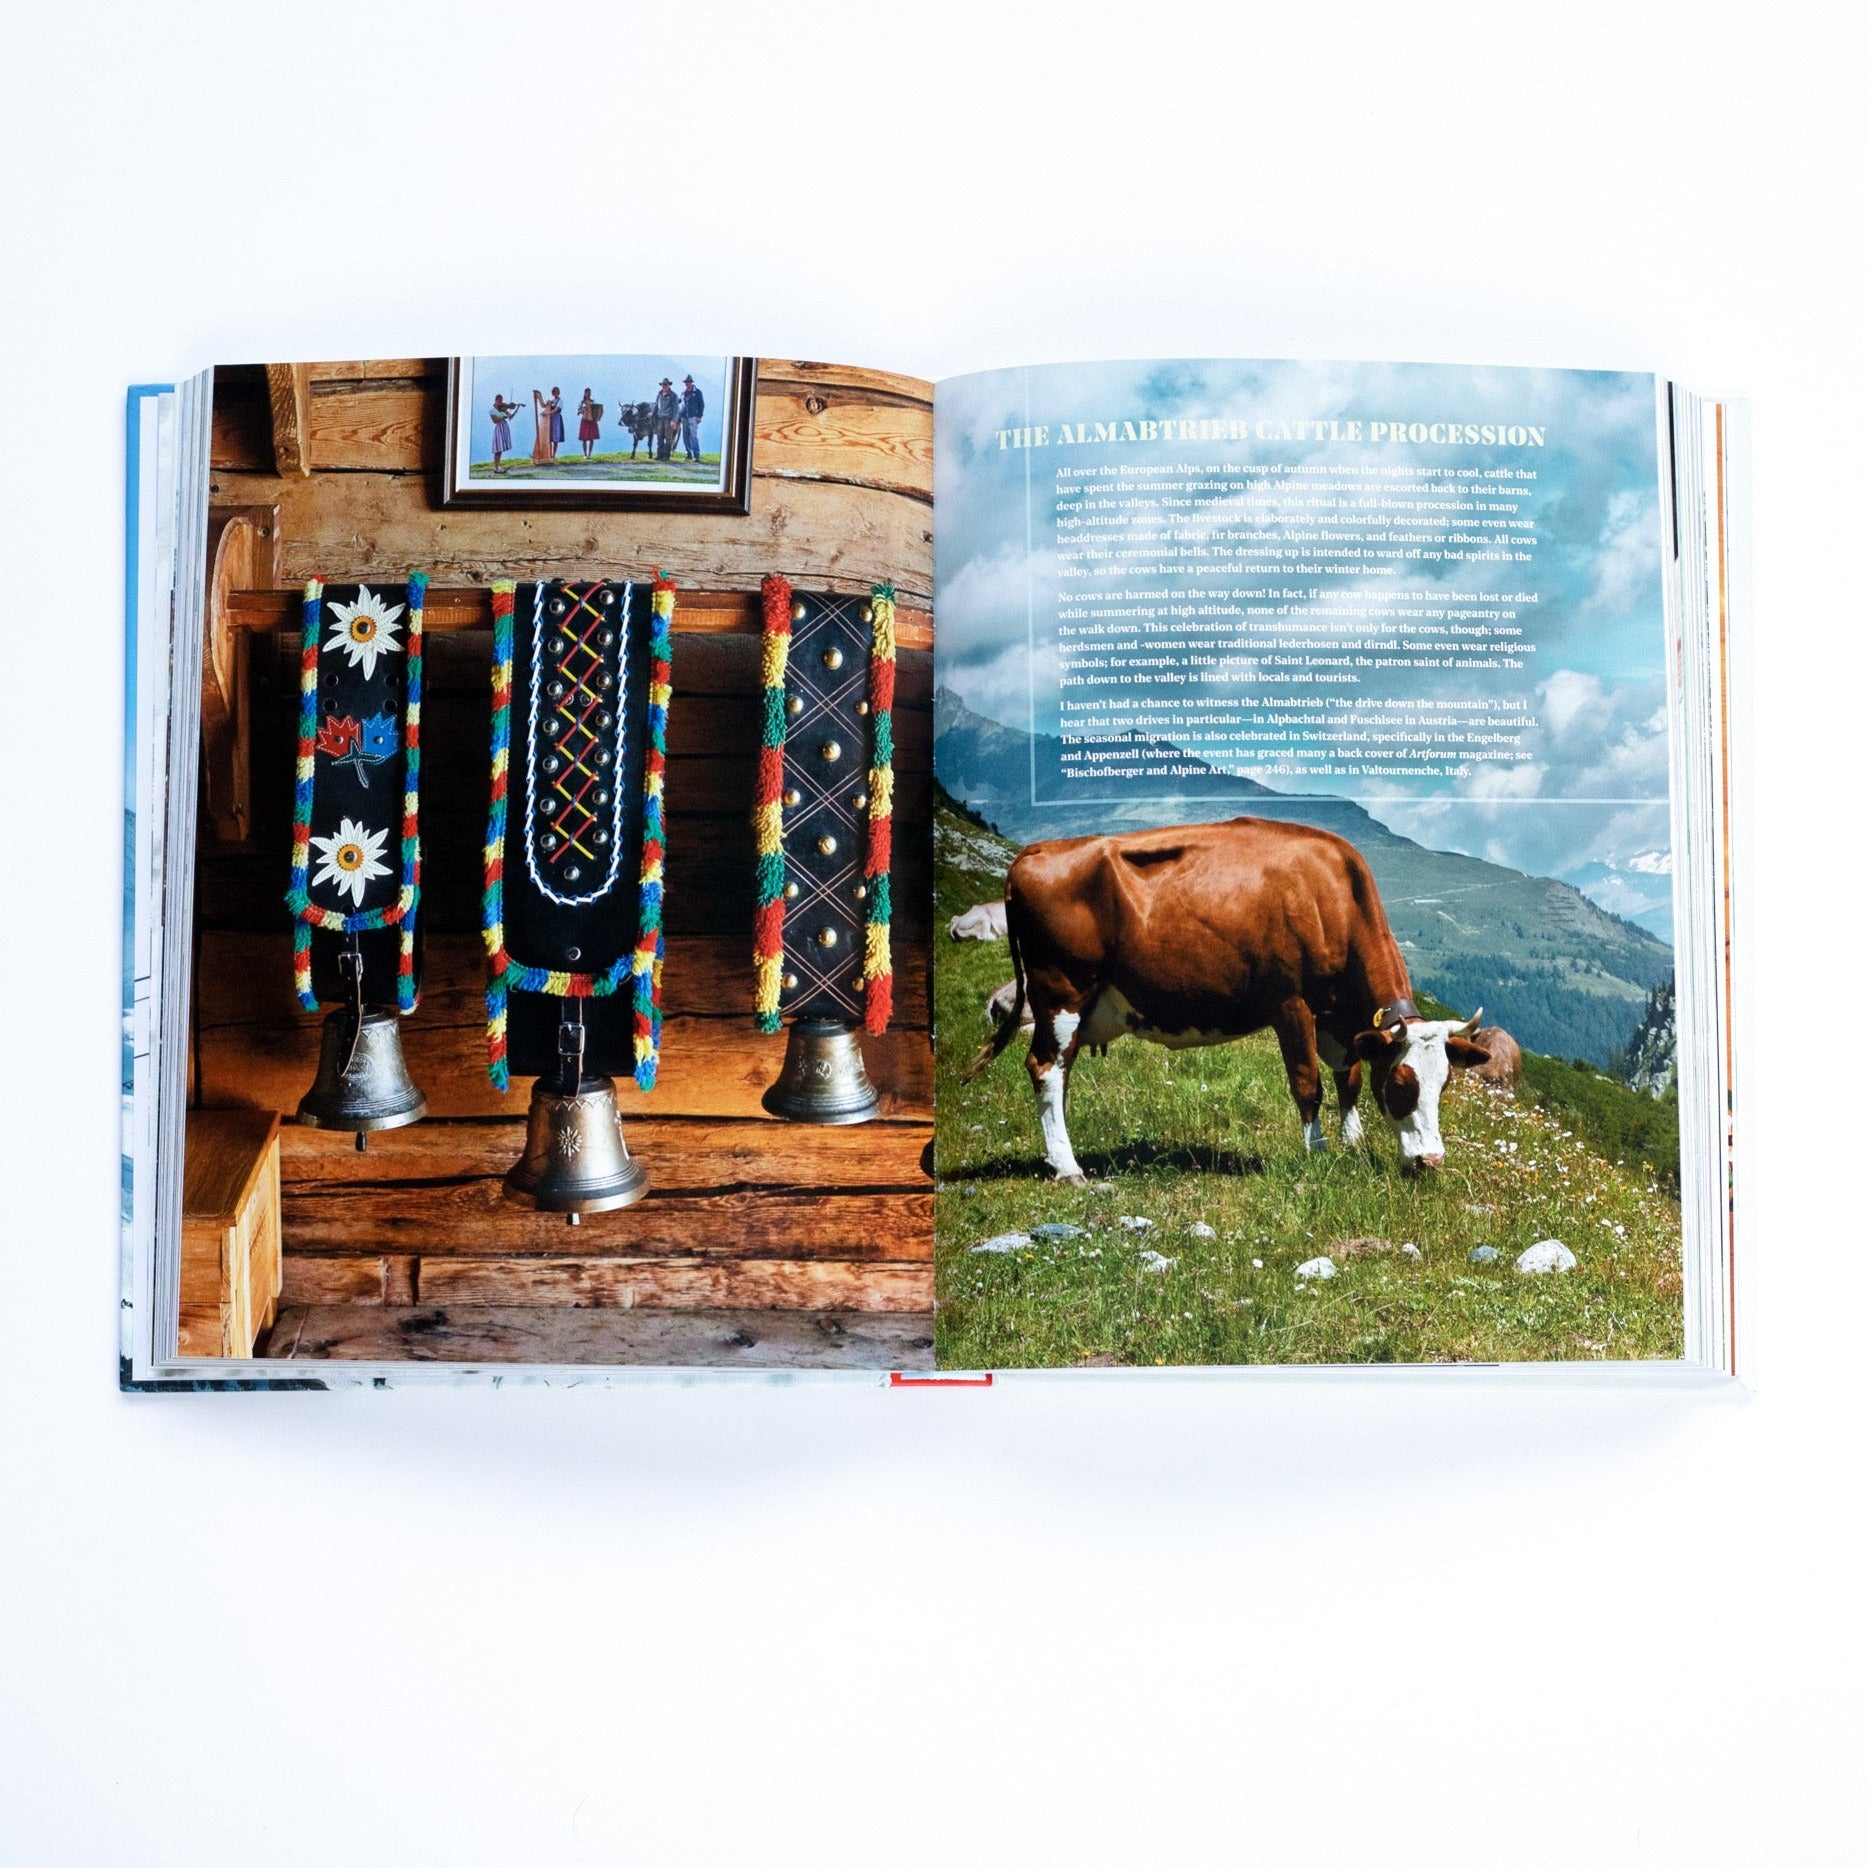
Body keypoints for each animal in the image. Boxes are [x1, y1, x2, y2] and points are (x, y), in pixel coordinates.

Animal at [978, 821, 1486, 1180]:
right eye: (1402, 1084)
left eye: (1444, 1084)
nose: (1430, 1161)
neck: (1333, 895)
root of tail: (1034, 852)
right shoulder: (1292, 1004)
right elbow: (1308, 1083)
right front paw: (1318, 1152)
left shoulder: (1340, 1022)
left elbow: (1351, 1079)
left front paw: (1353, 1143)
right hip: (1061, 990)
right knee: (1046, 1067)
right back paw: (1068, 1168)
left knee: (1060, 1071)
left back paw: (1059, 1157)